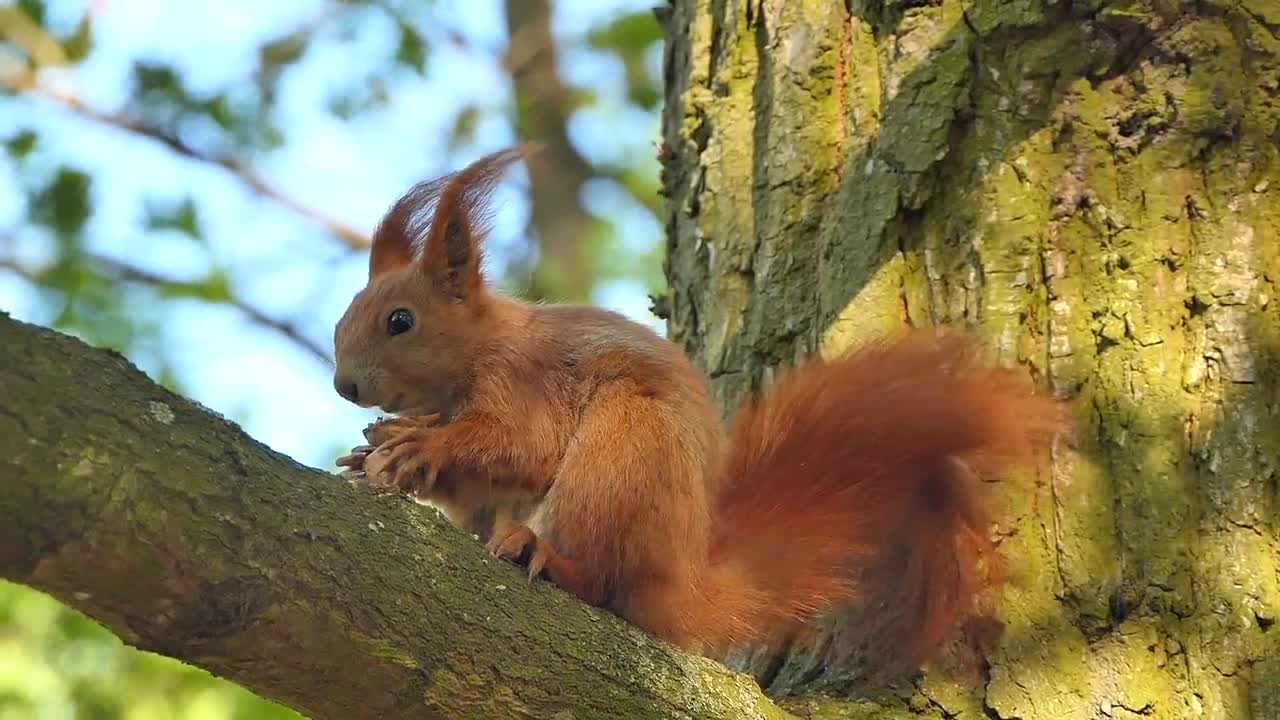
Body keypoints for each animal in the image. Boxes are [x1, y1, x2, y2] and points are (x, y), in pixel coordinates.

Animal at [330, 144, 1059, 671]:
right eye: (345, 317)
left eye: (400, 321)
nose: (343, 386)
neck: (477, 352)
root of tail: (683, 583)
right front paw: (377, 452)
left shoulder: (526, 378)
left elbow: (525, 445)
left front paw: (422, 443)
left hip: (624, 452)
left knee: (599, 580)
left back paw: (545, 554)